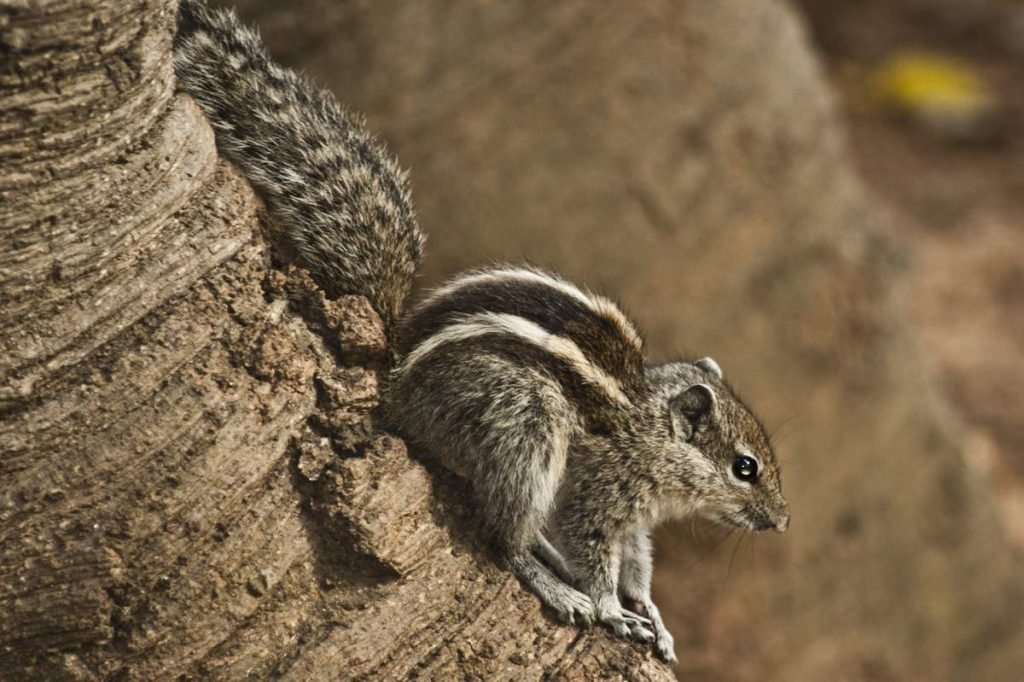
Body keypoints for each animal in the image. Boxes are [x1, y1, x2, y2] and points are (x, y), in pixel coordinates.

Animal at [174, 0, 790, 659]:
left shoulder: (635, 518)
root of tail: (397, 375)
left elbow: (637, 566)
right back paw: (555, 584)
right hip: (523, 423)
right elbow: (596, 555)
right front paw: (611, 609)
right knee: (504, 540)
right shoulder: (601, 494)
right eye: (745, 467)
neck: (649, 426)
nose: (782, 521)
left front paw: (653, 613)